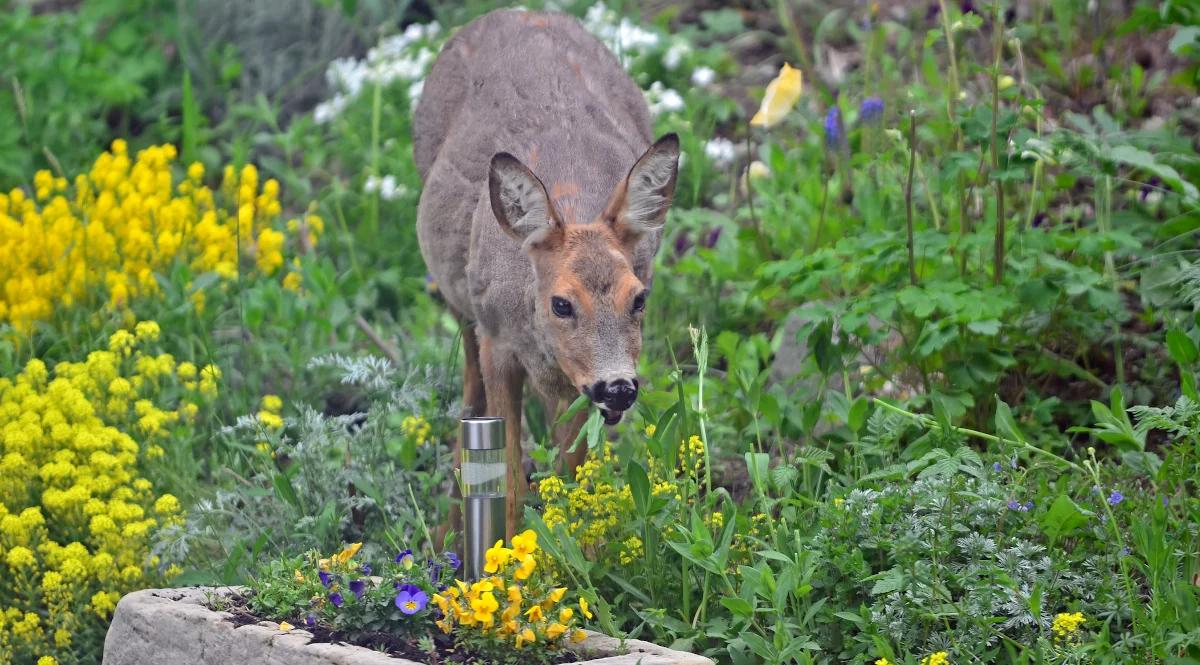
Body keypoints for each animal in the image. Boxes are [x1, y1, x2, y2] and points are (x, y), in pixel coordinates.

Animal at [410, 9, 676, 537]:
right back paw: (448, 528)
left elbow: (571, 474)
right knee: (468, 395)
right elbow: (510, 480)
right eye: (561, 303)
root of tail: (518, 11)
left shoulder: (577, 382)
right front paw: (507, 550)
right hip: (462, 304)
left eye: (639, 298)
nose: (618, 387)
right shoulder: (498, 344)